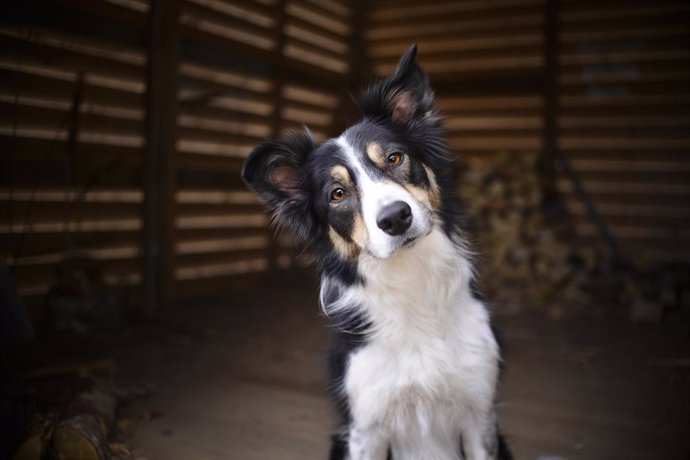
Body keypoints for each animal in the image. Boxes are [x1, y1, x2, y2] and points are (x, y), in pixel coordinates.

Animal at [239, 44, 508, 460]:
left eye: (395, 158)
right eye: (337, 194)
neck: (412, 282)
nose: (396, 217)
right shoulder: (366, 428)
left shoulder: (480, 417)